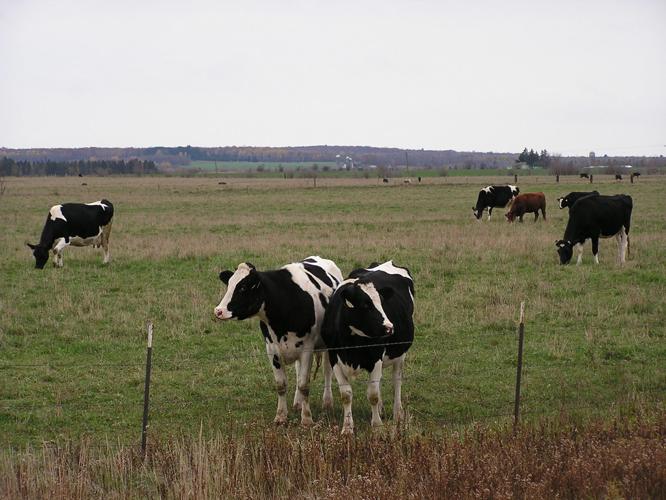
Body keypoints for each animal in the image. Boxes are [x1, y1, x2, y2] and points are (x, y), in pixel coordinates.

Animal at [214, 256, 343, 426]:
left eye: (243, 287)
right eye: (229, 284)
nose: (218, 311)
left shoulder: (307, 348)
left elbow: (304, 385)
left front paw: (307, 419)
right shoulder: (272, 349)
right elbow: (281, 385)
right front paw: (281, 416)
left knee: (327, 371)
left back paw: (327, 402)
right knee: (298, 370)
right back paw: (297, 403)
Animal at [321, 261, 414, 435]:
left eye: (382, 302)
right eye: (365, 305)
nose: (389, 327)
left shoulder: (376, 358)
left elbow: (373, 394)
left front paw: (377, 426)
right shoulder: (334, 357)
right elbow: (346, 394)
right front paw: (347, 428)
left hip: (400, 353)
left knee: (396, 381)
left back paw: (397, 414)